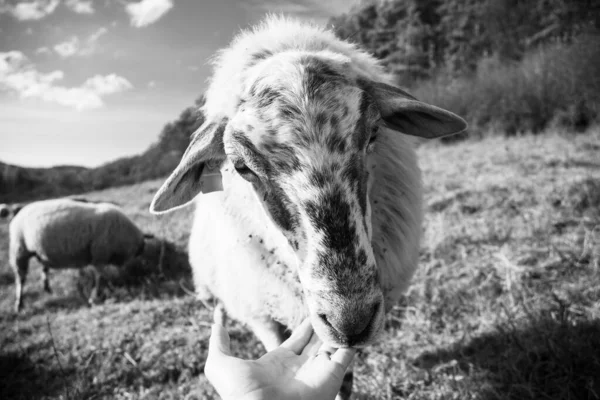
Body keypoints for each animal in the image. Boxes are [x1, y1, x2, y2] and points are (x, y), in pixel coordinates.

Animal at [8, 197, 149, 312]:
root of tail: (19, 212)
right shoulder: (99, 255)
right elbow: (99, 277)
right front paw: (95, 296)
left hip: (39, 252)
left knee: (44, 269)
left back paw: (47, 289)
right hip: (19, 249)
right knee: (21, 279)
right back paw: (19, 304)